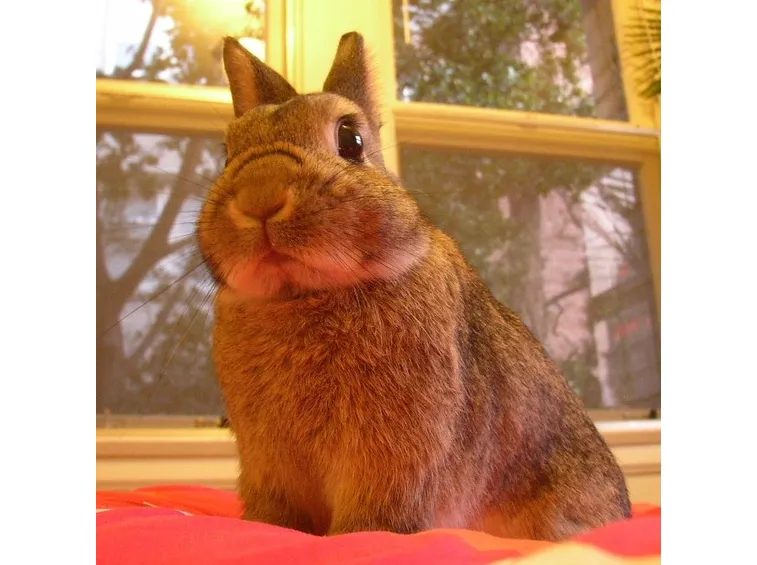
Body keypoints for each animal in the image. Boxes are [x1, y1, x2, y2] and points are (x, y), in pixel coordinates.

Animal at [196, 31, 632, 541]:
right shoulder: (269, 462)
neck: (301, 294)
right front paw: (264, 530)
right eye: (228, 153)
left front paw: (356, 536)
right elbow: (277, 518)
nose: (260, 197)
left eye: (350, 139)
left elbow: (372, 523)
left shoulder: (392, 457)